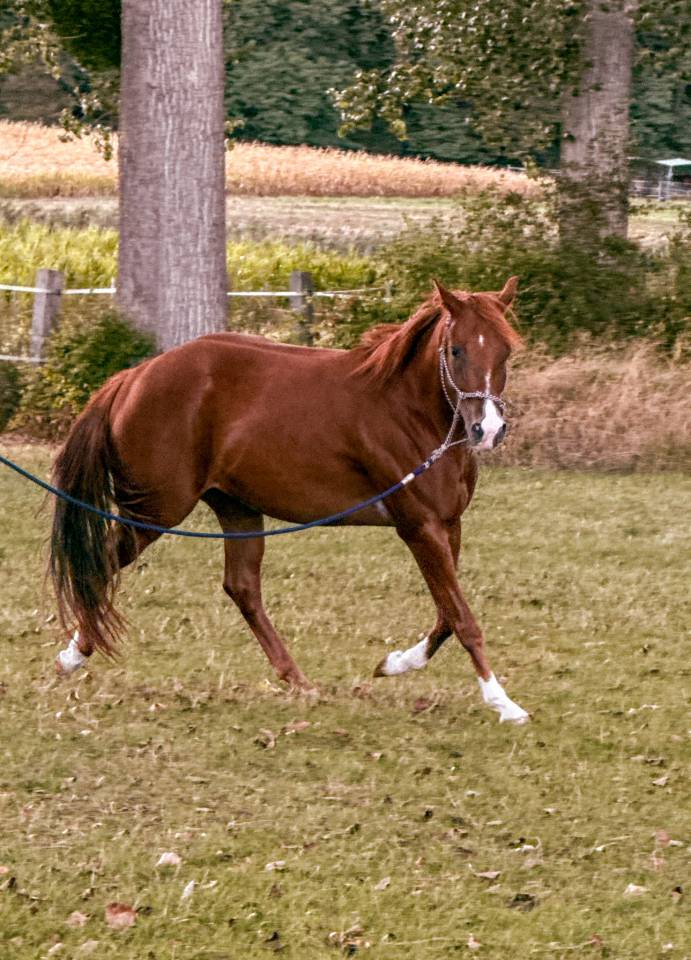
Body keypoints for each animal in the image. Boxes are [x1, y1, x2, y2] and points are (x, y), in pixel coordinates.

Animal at [51, 278, 529, 724]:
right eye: (456, 350)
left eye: (505, 351)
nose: (487, 429)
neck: (409, 411)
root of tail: (131, 379)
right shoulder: (420, 527)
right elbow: (463, 618)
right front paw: (504, 703)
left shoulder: (448, 524)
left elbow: (446, 615)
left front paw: (394, 663)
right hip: (156, 510)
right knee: (102, 563)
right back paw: (71, 657)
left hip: (236, 507)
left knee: (241, 588)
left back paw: (297, 680)